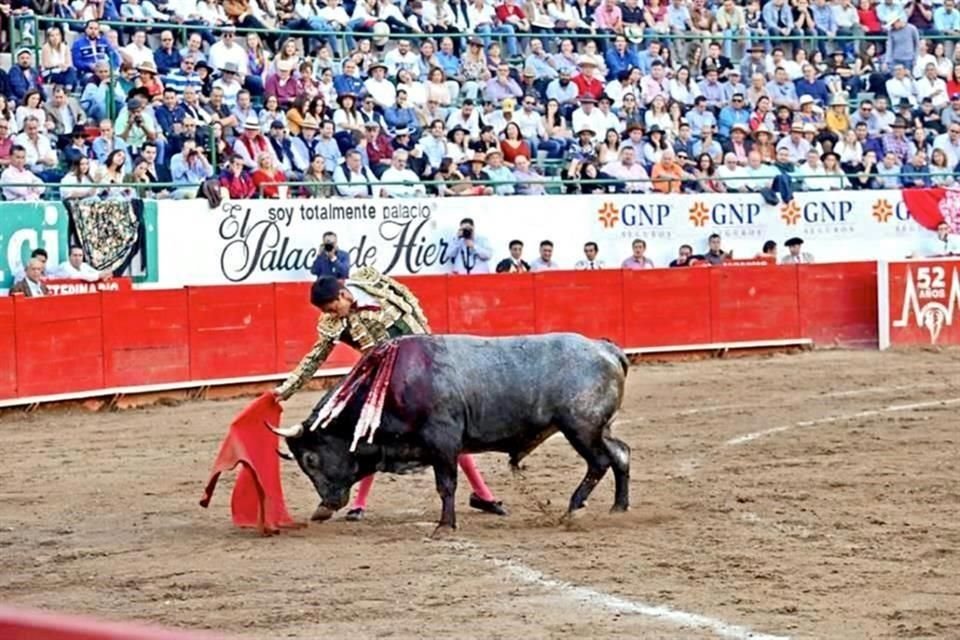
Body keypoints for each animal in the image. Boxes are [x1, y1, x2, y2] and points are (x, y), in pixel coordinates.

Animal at [270, 332, 632, 532]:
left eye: (311, 459)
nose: (328, 503)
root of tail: (605, 348)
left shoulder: (442, 442)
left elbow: (446, 485)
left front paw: (444, 526)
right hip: (599, 428)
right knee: (621, 454)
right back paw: (619, 507)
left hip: (581, 427)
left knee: (600, 462)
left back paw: (572, 510)